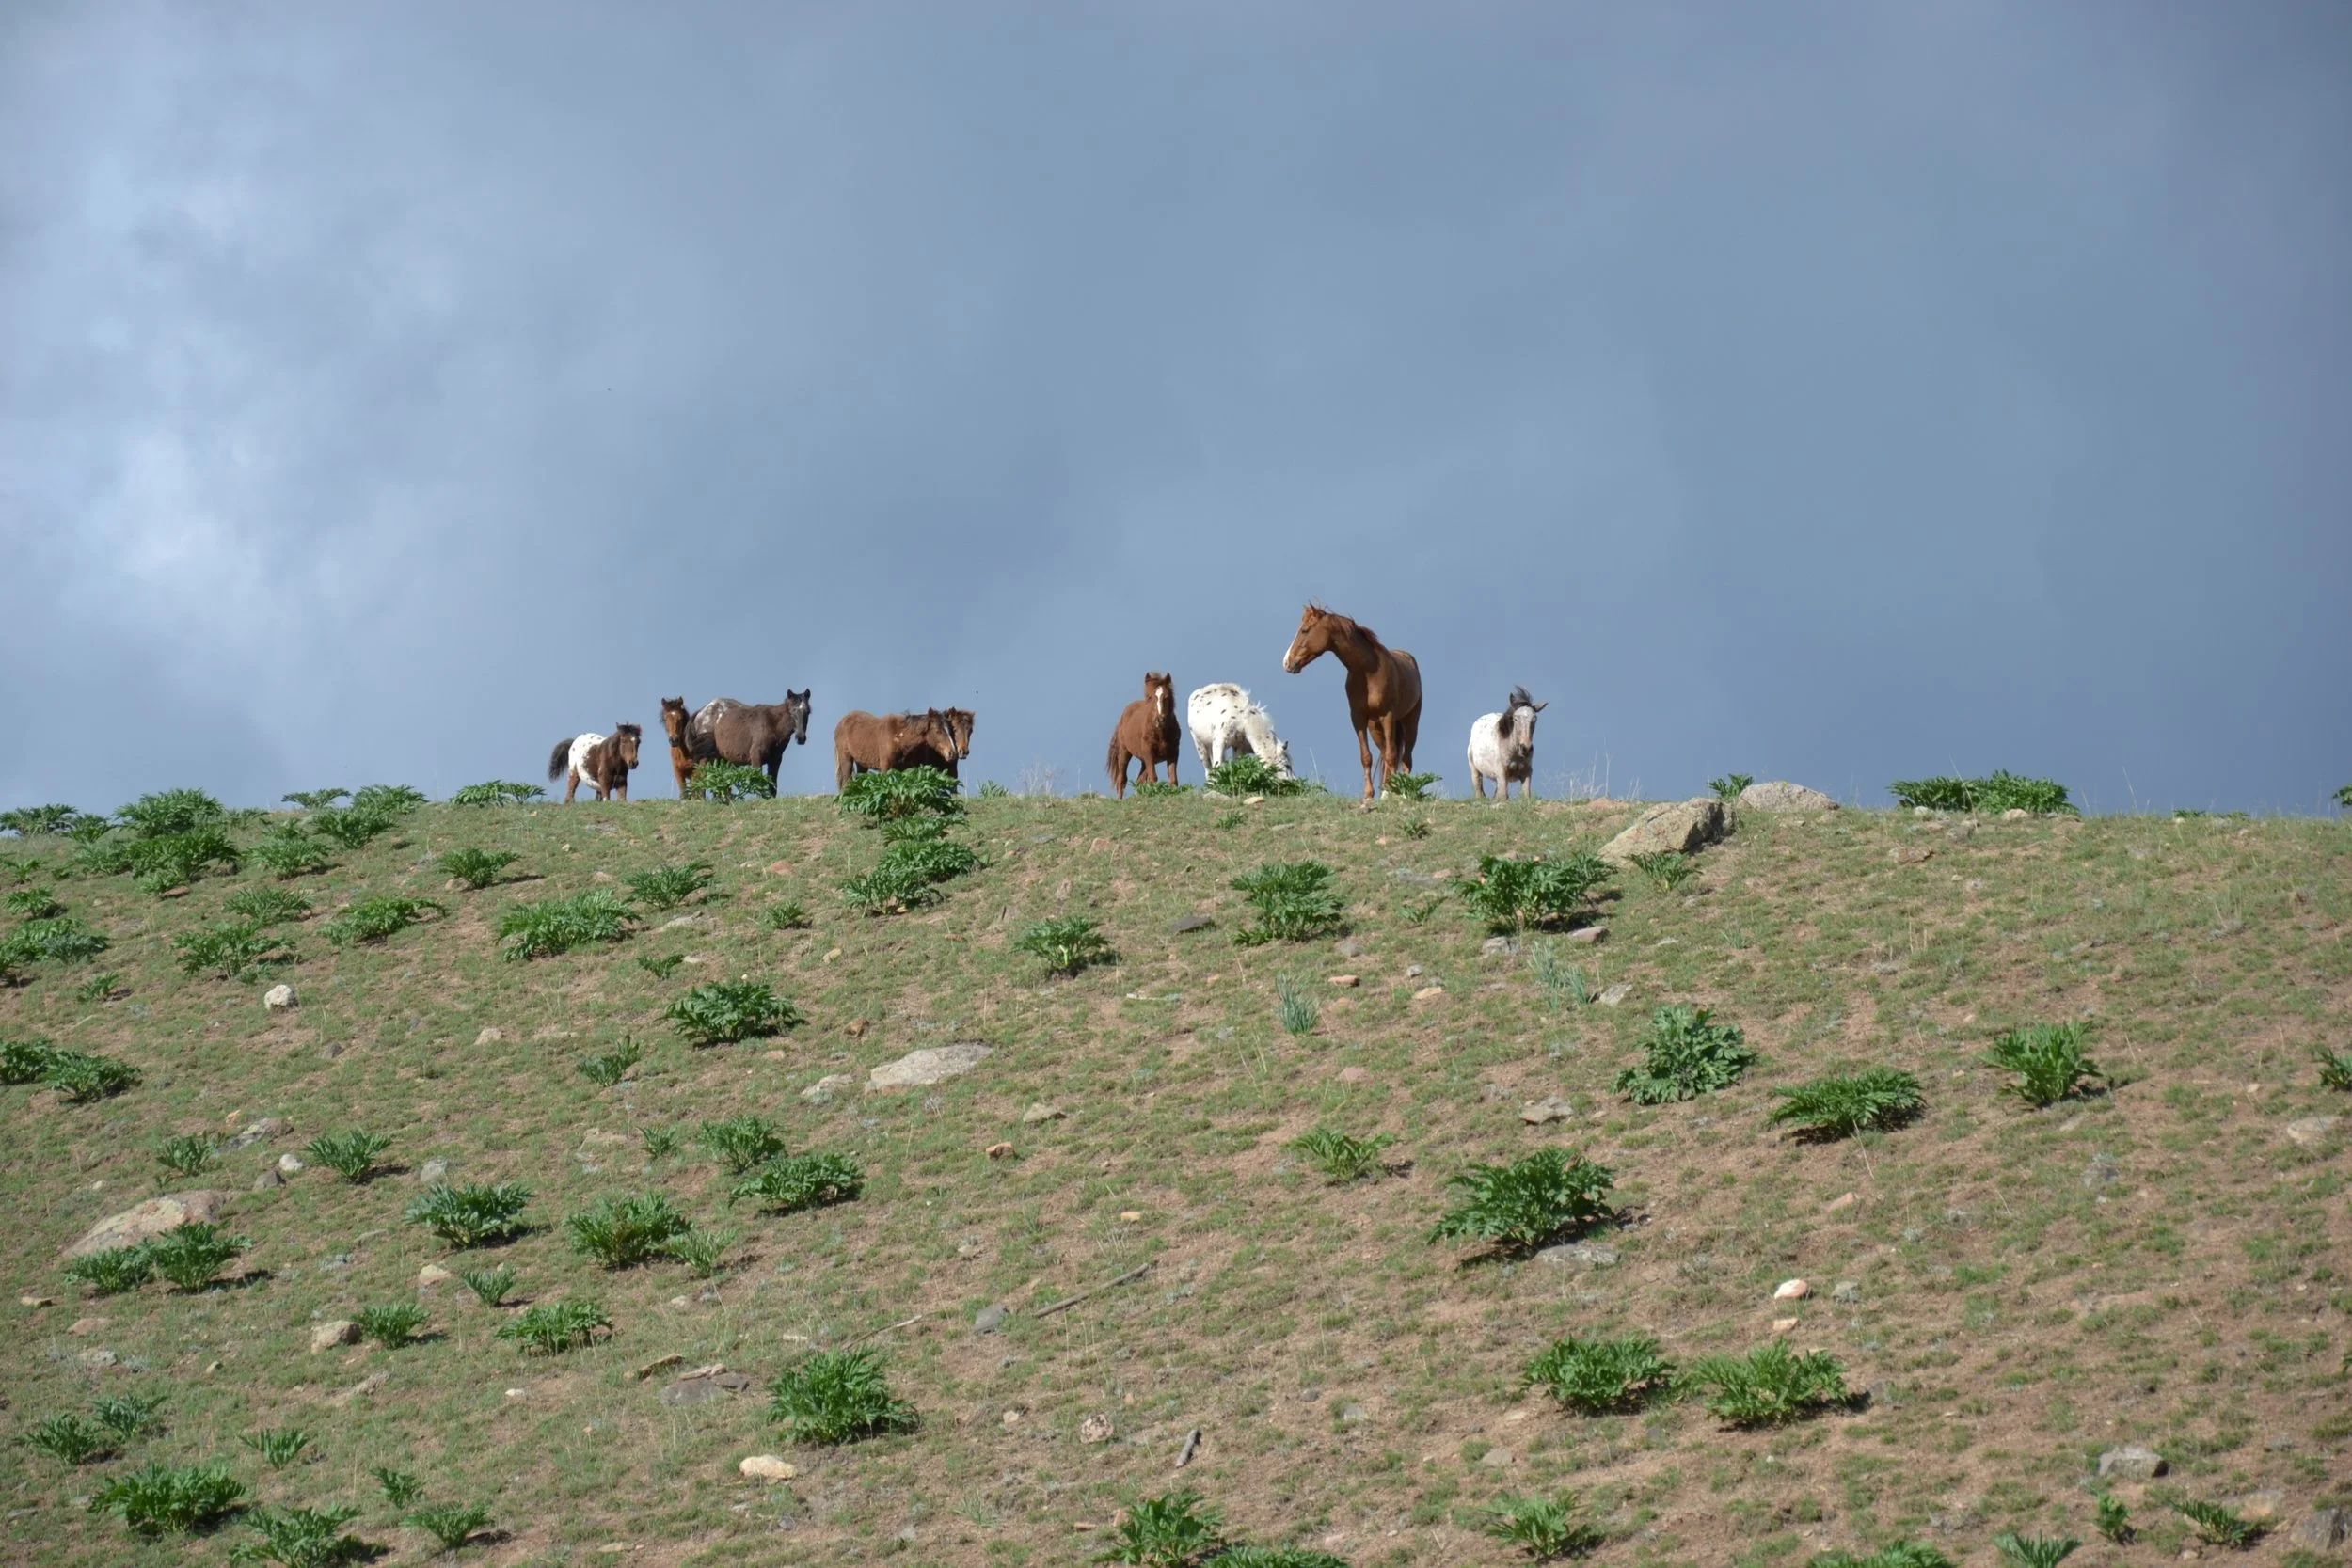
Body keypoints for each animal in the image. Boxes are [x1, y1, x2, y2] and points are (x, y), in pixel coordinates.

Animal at [834, 709, 959, 790]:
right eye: (938, 731)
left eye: (952, 730)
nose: (952, 753)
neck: (899, 737)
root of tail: (841, 723)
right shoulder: (885, 766)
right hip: (846, 759)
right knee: (846, 781)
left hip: (862, 764)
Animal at [1107, 673, 1180, 797]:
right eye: (1150, 697)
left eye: (1166, 696)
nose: (1160, 720)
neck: (1160, 733)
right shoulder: (1149, 754)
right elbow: (1153, 778)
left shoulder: (1173, 754)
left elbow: (1173, 780)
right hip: (1125, 752)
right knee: (1122, 779)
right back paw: (1120, 799)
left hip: (1144, 761)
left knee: (1139, 780)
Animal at [1281, 603, 1422, 799]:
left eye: (1305, 630)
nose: (1287, 662)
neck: (1368, 671)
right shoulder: (1358, 717)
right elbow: (1366, 756)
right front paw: (1369, 795)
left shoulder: (1387, 715)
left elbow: (1392, 756)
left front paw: (1390, 794)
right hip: (1375, 728)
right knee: (1387, 754)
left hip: (1410, 722)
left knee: (1405, 757)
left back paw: (1402, 791)